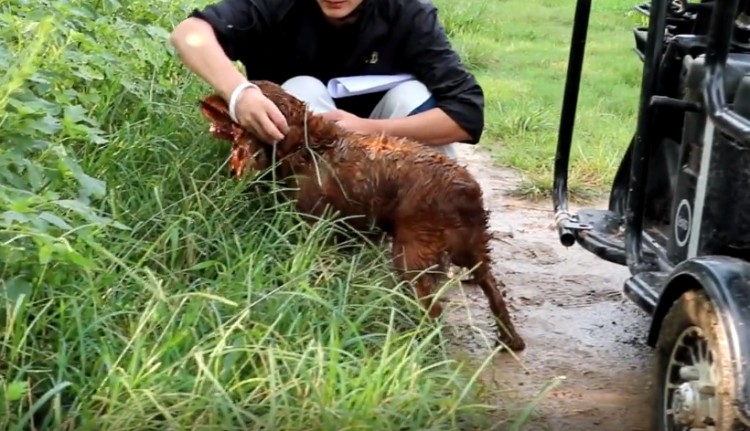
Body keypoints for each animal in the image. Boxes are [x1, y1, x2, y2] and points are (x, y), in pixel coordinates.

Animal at [201, 80, 528, 352]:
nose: (204, 100)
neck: (307, 143)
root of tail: (467, 190)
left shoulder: (314, 223)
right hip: (473, 249)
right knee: (493, 290)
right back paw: (510, 340)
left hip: (412, 255)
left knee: (434, 311)